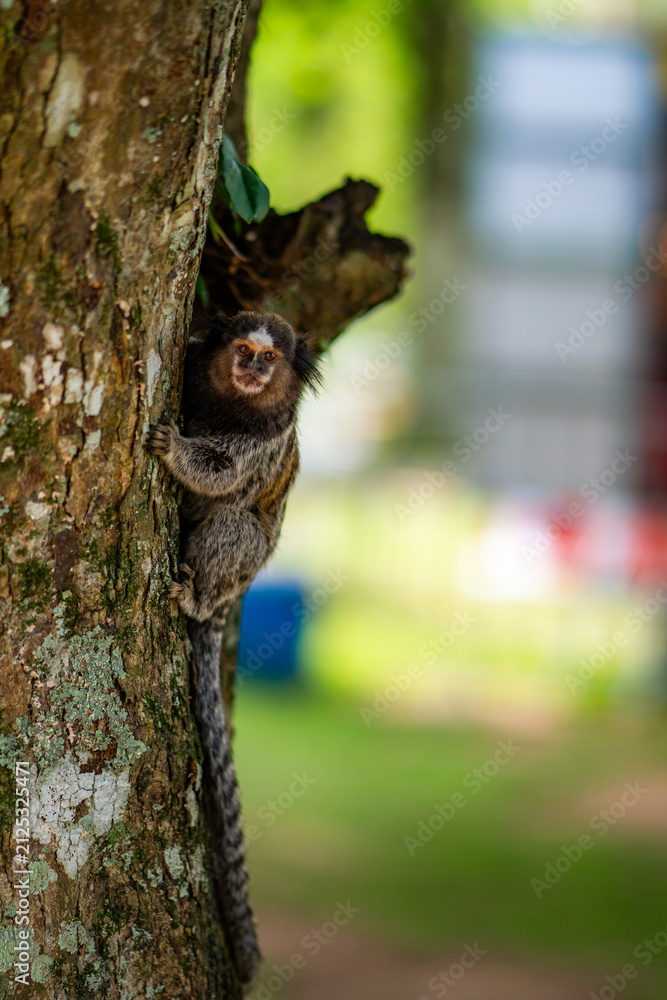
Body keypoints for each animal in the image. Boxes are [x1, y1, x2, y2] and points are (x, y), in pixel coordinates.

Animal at [145, 310, 320, 987]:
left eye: (269, 360)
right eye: (242, 349)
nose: (251, 368)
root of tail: (231, 599)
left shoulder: (259, 443)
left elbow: (220, 470)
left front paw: (175, 450)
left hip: (239, 563)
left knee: (233, 525)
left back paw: (195, 598)